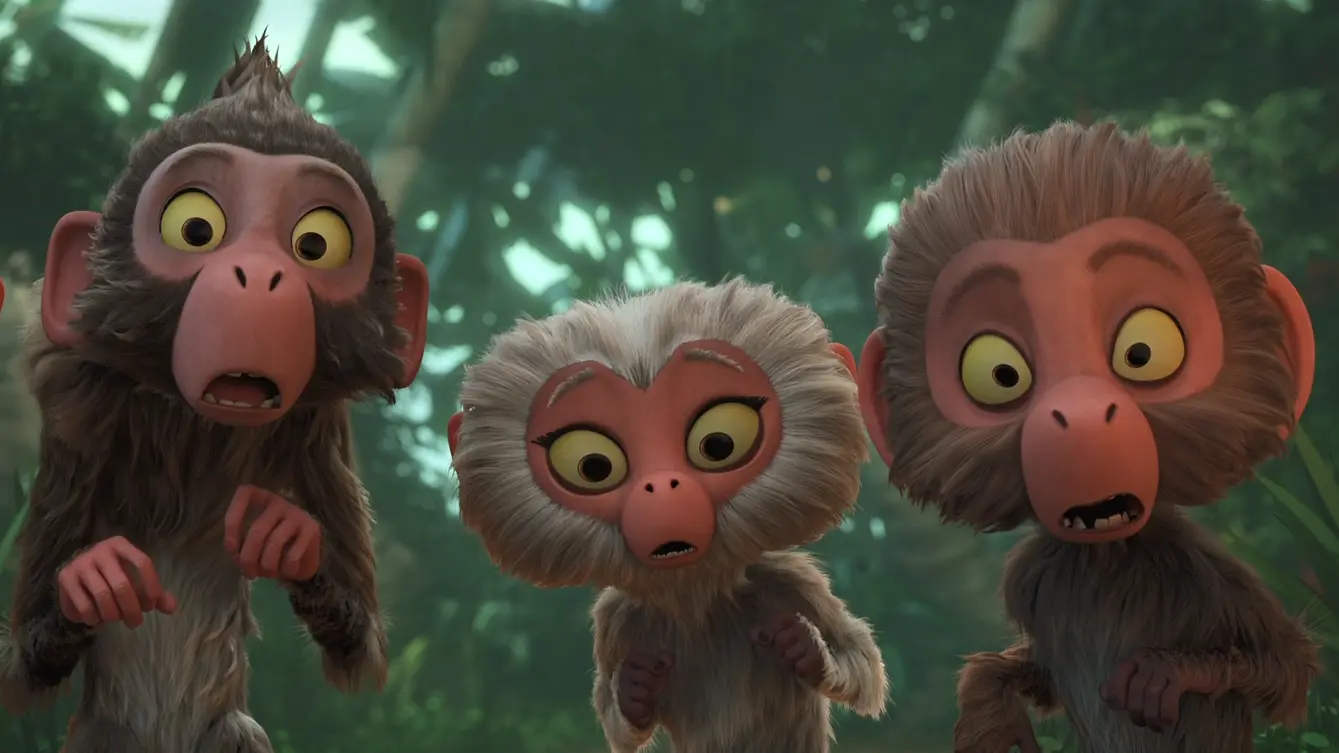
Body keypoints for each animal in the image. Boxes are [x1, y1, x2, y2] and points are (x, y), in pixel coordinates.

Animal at [0, 36, 430, 753]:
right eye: (195, 228)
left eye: (316, 242)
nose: (257, 275)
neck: (196, 430)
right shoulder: (79, 417)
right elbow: (21, 670)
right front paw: (90, 582)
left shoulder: (318, 432)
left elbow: (364, 654)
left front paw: (289, 538)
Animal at [447, 279, 889, 753]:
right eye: (593, 466)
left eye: (719, 443)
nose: (660, 486)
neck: (695, 597)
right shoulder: (619, 620)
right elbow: (614, 717)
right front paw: (633, 690)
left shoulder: (791, 583)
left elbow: (863, 664)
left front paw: (805, 648)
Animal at [854, 121, 1319, 753]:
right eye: (999, 372)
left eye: (1143, 352)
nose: (1081, 415)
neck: (1107, 556)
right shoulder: (1032, 577)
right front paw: (987, 702)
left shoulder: (1206, 572)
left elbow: (1287, 671)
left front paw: (1166, 672)